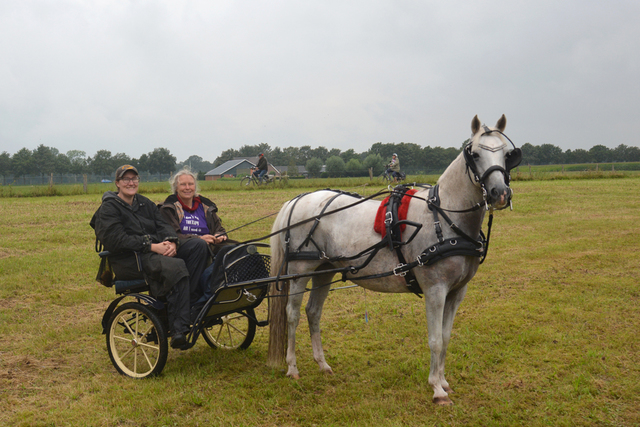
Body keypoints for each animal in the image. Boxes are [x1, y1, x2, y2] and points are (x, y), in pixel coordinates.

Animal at [268, 114, 520, 404]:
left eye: (506, 153)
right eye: (476, 154)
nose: (500, 193)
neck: (444, 218)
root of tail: (297, 199)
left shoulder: (457, 291)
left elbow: (446, 338)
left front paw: (444, 382)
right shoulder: (435, 289)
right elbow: (435, 339)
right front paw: (436, 389)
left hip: (324, 270)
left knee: (313, 312)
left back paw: (323, 365)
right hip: (300, 270)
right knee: (292, 314)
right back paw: (292, 368)